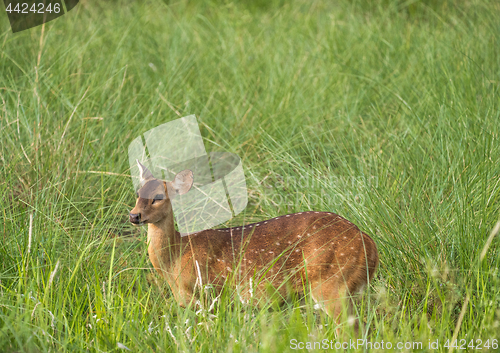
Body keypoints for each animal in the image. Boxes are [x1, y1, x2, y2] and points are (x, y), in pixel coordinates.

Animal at [130, 160, 378, 330]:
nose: (134, 215)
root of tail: (368, 243)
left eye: (158, 197)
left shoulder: (209, 295)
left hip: (331, 282)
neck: (175, 259)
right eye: (137, 193)